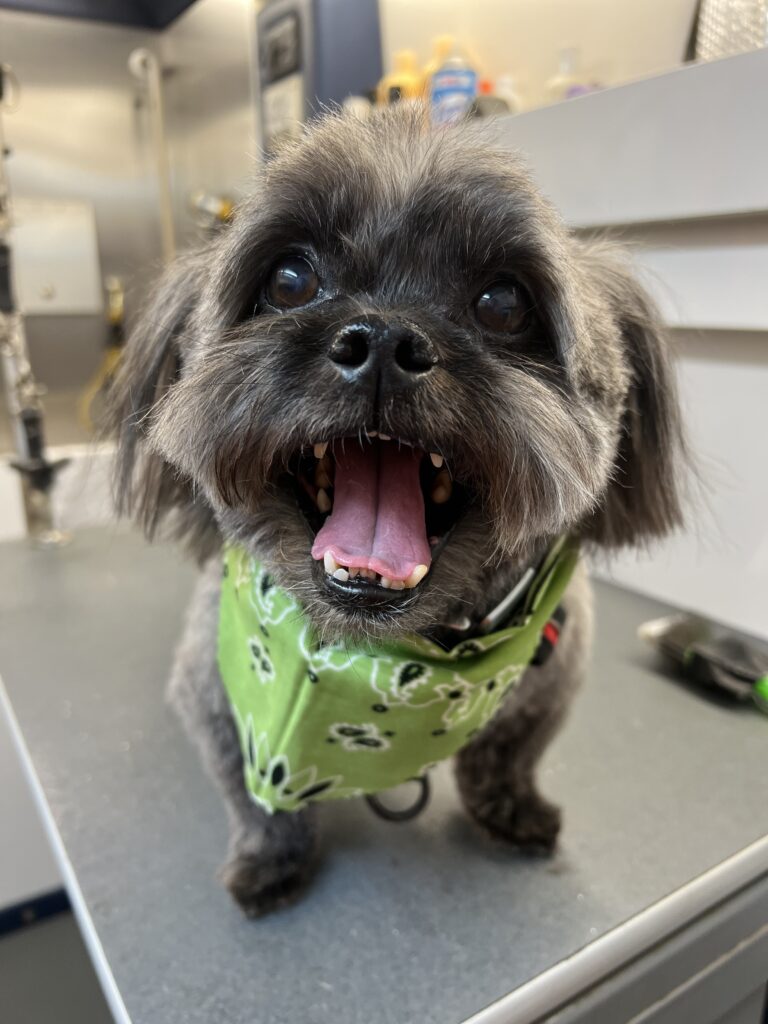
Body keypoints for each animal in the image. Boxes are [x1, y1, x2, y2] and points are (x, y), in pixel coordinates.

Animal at [107, 108, 684, 917]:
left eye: (503, 303)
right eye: (290, 279)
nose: (381, 337)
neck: (374, 663)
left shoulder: (555, 677)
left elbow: (510, 753)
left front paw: (511, 808)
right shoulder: (214, 700)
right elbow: (250, 794)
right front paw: (270, 857)